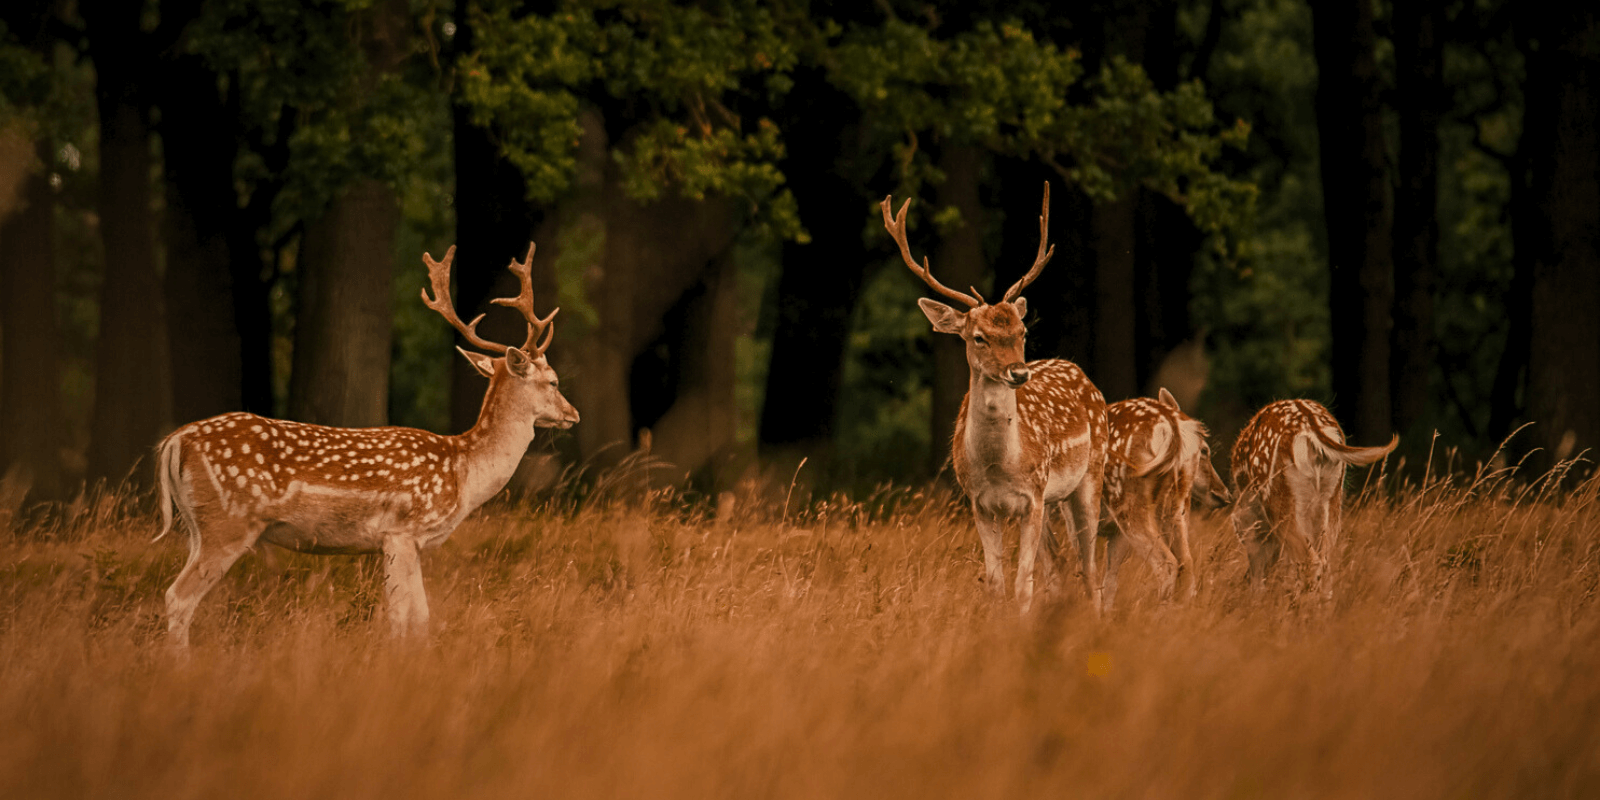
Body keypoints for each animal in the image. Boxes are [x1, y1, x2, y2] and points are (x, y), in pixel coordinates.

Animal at [152, 241, 579, 643]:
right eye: (554, 381)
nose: (573, 414)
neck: (464, 471)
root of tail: (175, 441)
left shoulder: (403, 543)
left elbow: (412, 617)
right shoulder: (401, 531)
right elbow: (407, 617)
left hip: (197, 527)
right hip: (228, 522)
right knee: (178, 597)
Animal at [883, 183, 1107, 611]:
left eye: (1022, 332)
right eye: (978, 337)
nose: (1019, 373)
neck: (999, 465)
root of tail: (1085, 377)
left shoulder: (1031, 497)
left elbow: (1023, 585)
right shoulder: (981, 503)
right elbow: (995, 583)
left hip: (1089, 475)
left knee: (1089, 568)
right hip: (1053, 499)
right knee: (1058, 567)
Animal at [1100, 387, 1235, 604]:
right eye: (1204, 450)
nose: (1224, 494)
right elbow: (1108, 582)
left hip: (1128, 503)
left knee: (1168, 563)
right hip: (1172, 508)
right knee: (1186, 564)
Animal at [1228, 398, 1395, 595]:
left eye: (1241, 534)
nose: (1247, 581)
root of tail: (1311, 425)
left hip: (1279, 499)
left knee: (1309, 560)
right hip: (1332, 499)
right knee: (1325, 562)